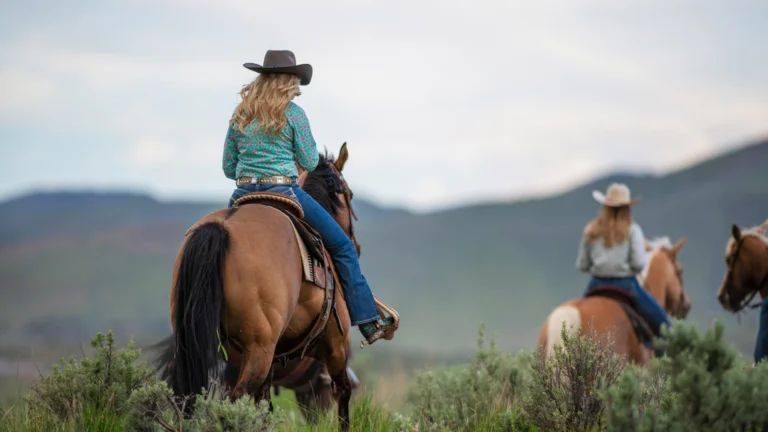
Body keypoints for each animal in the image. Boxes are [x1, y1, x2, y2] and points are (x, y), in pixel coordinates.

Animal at [158, 143, 384, 430]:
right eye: (350, 194)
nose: (355, 245)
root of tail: (221, 227)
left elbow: (264, 407)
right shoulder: (336, 346)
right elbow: (343, 395)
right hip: (258, 352)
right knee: (233, 402)